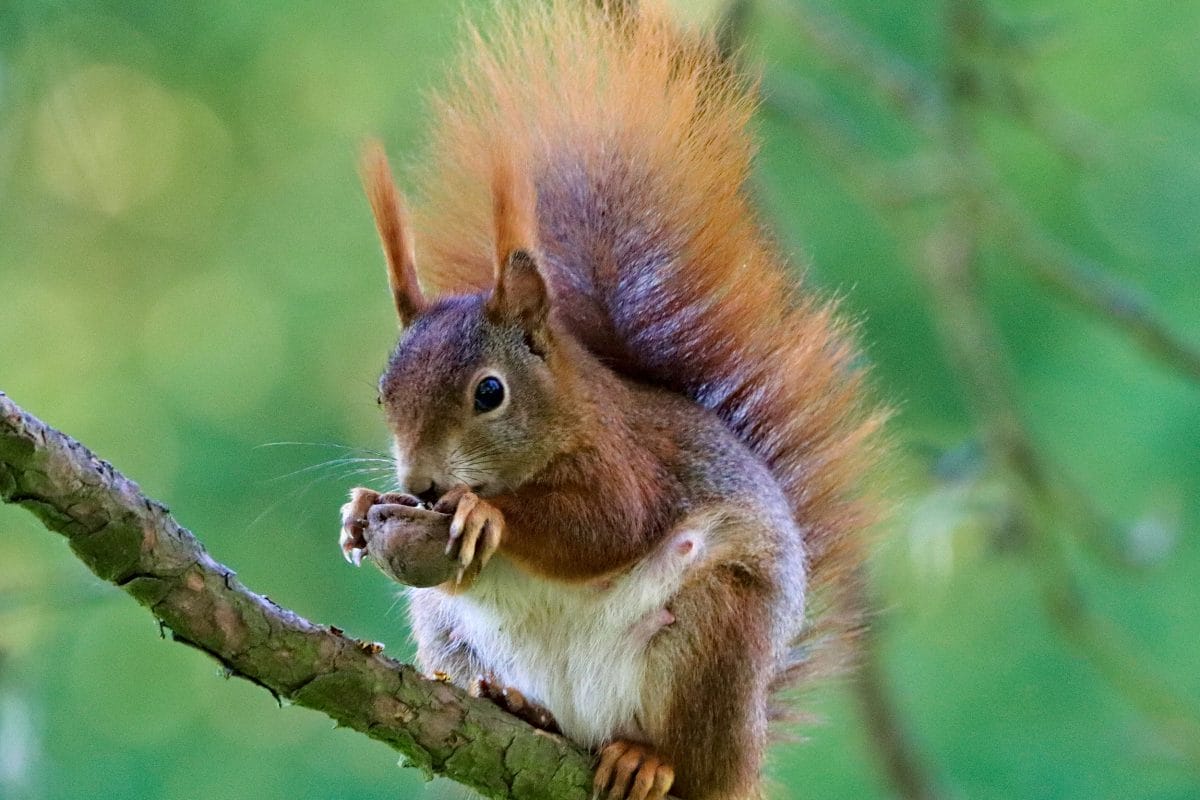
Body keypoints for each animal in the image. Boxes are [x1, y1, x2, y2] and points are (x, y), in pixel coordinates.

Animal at [337, 3, 885, 799]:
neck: (561, 416)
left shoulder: (626, 457)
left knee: (684, 750)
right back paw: (521, 706)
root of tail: (743, 759)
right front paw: (357, 512)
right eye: (382, 395)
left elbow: (610, 524)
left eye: (490, 392)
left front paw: (485, 514)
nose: (422, 485)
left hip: (713, 636)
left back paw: (646, 760)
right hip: (449, 631)